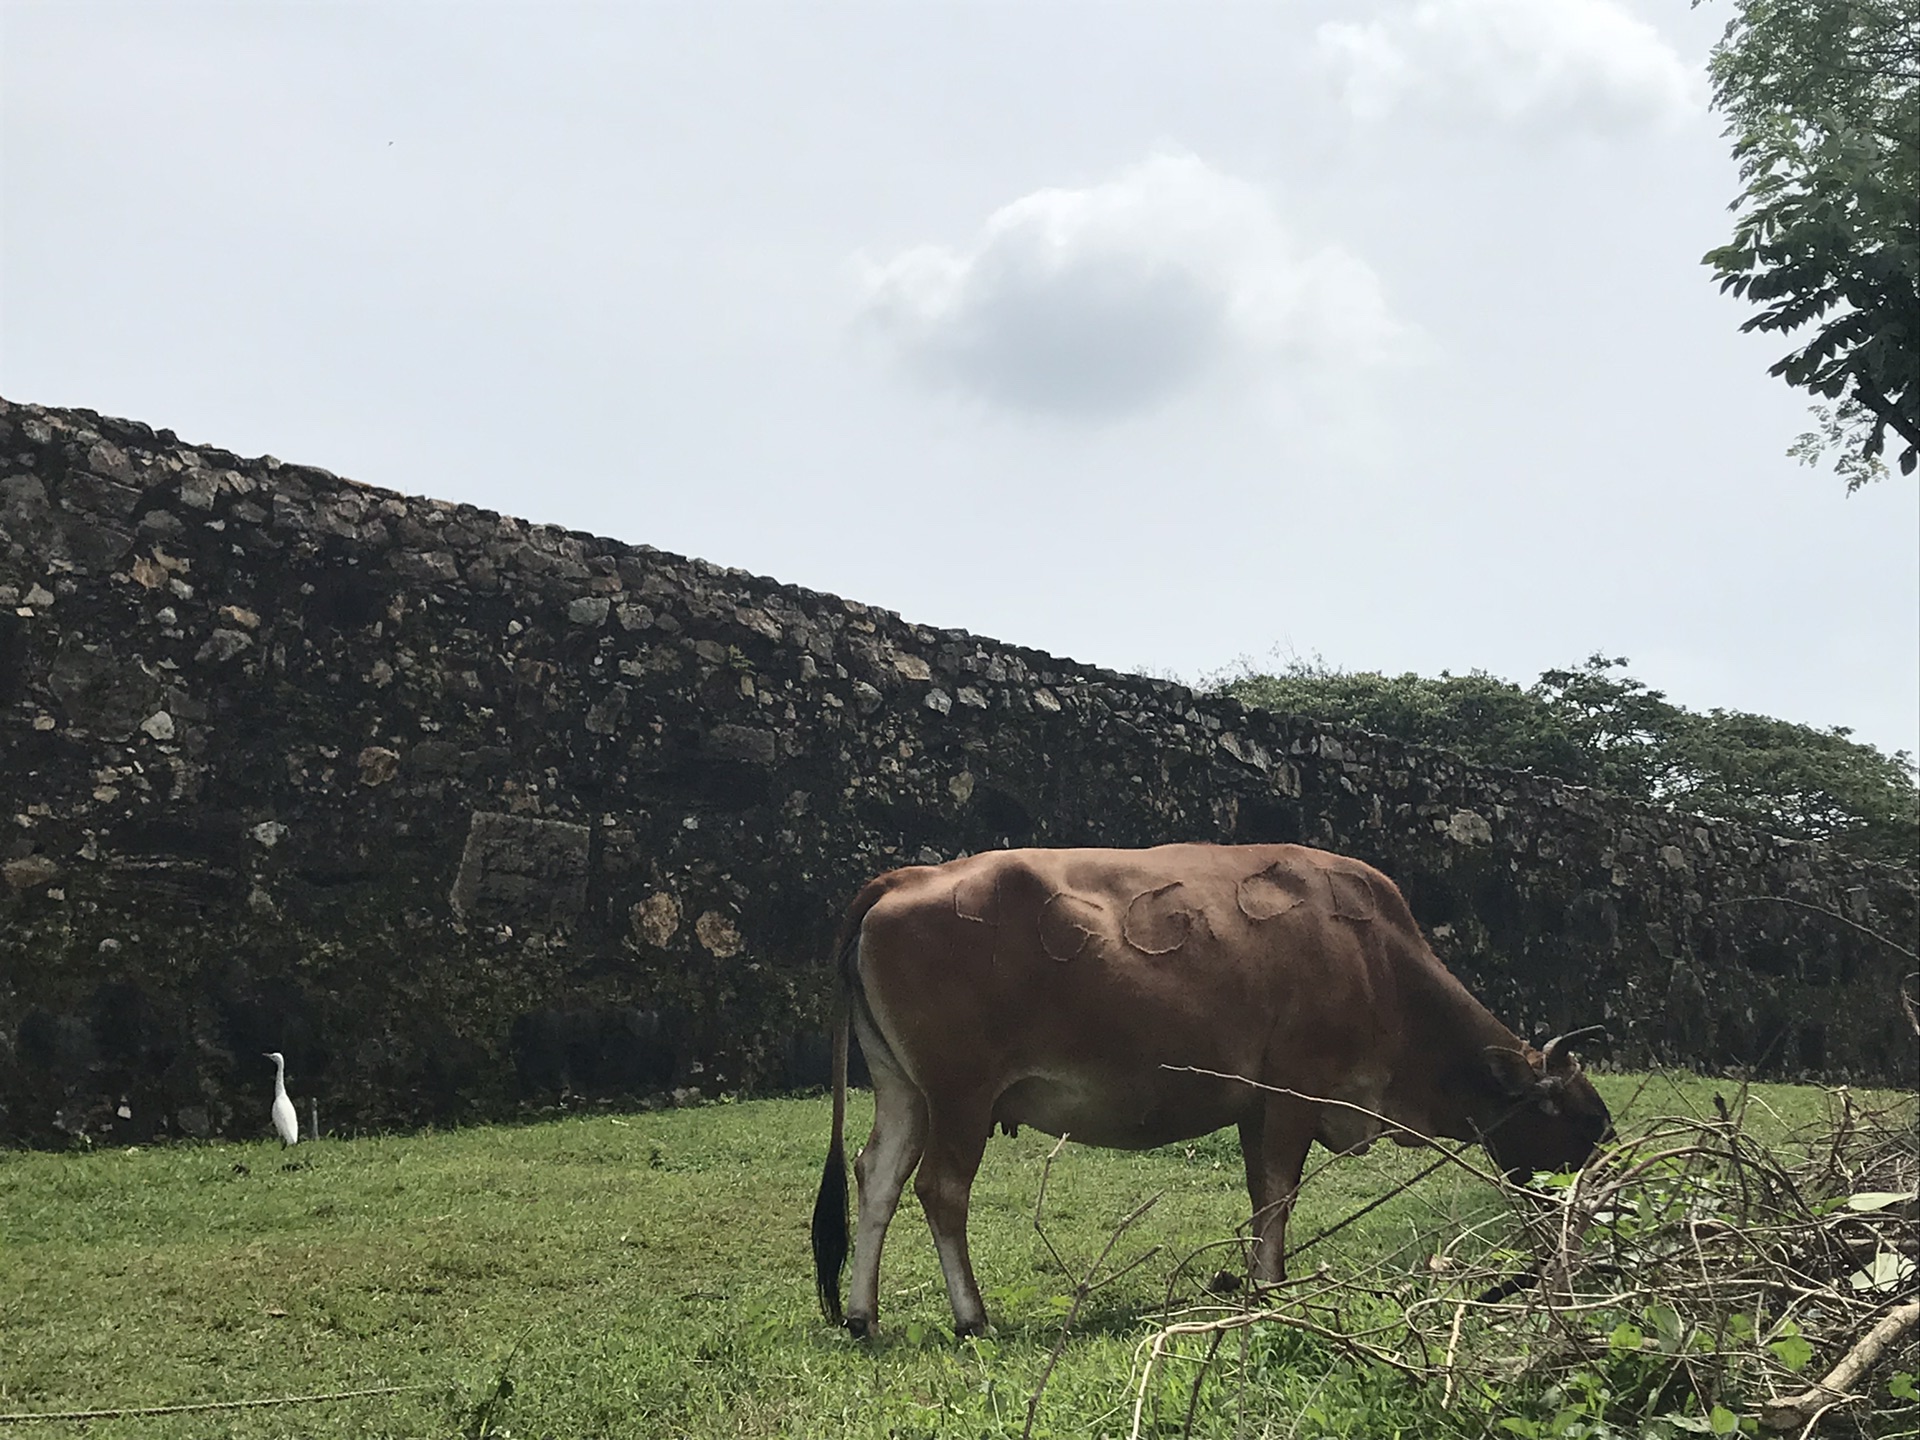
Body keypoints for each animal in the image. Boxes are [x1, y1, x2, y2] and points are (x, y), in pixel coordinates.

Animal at [802, 844, 1612, 1344]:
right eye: (1584, 1128)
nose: (1591, 1221)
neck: (1378, 959)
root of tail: (906, 878)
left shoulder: (1257, 1105)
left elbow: (1261, 1196)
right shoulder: (1292, 1091)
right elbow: (1278, 1193)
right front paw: (1272, 1288)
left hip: (904, 1089)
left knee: (877, 1178)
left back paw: (862, 1315)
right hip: (960, 1094)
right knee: (940, 1189)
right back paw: (972, 1317)